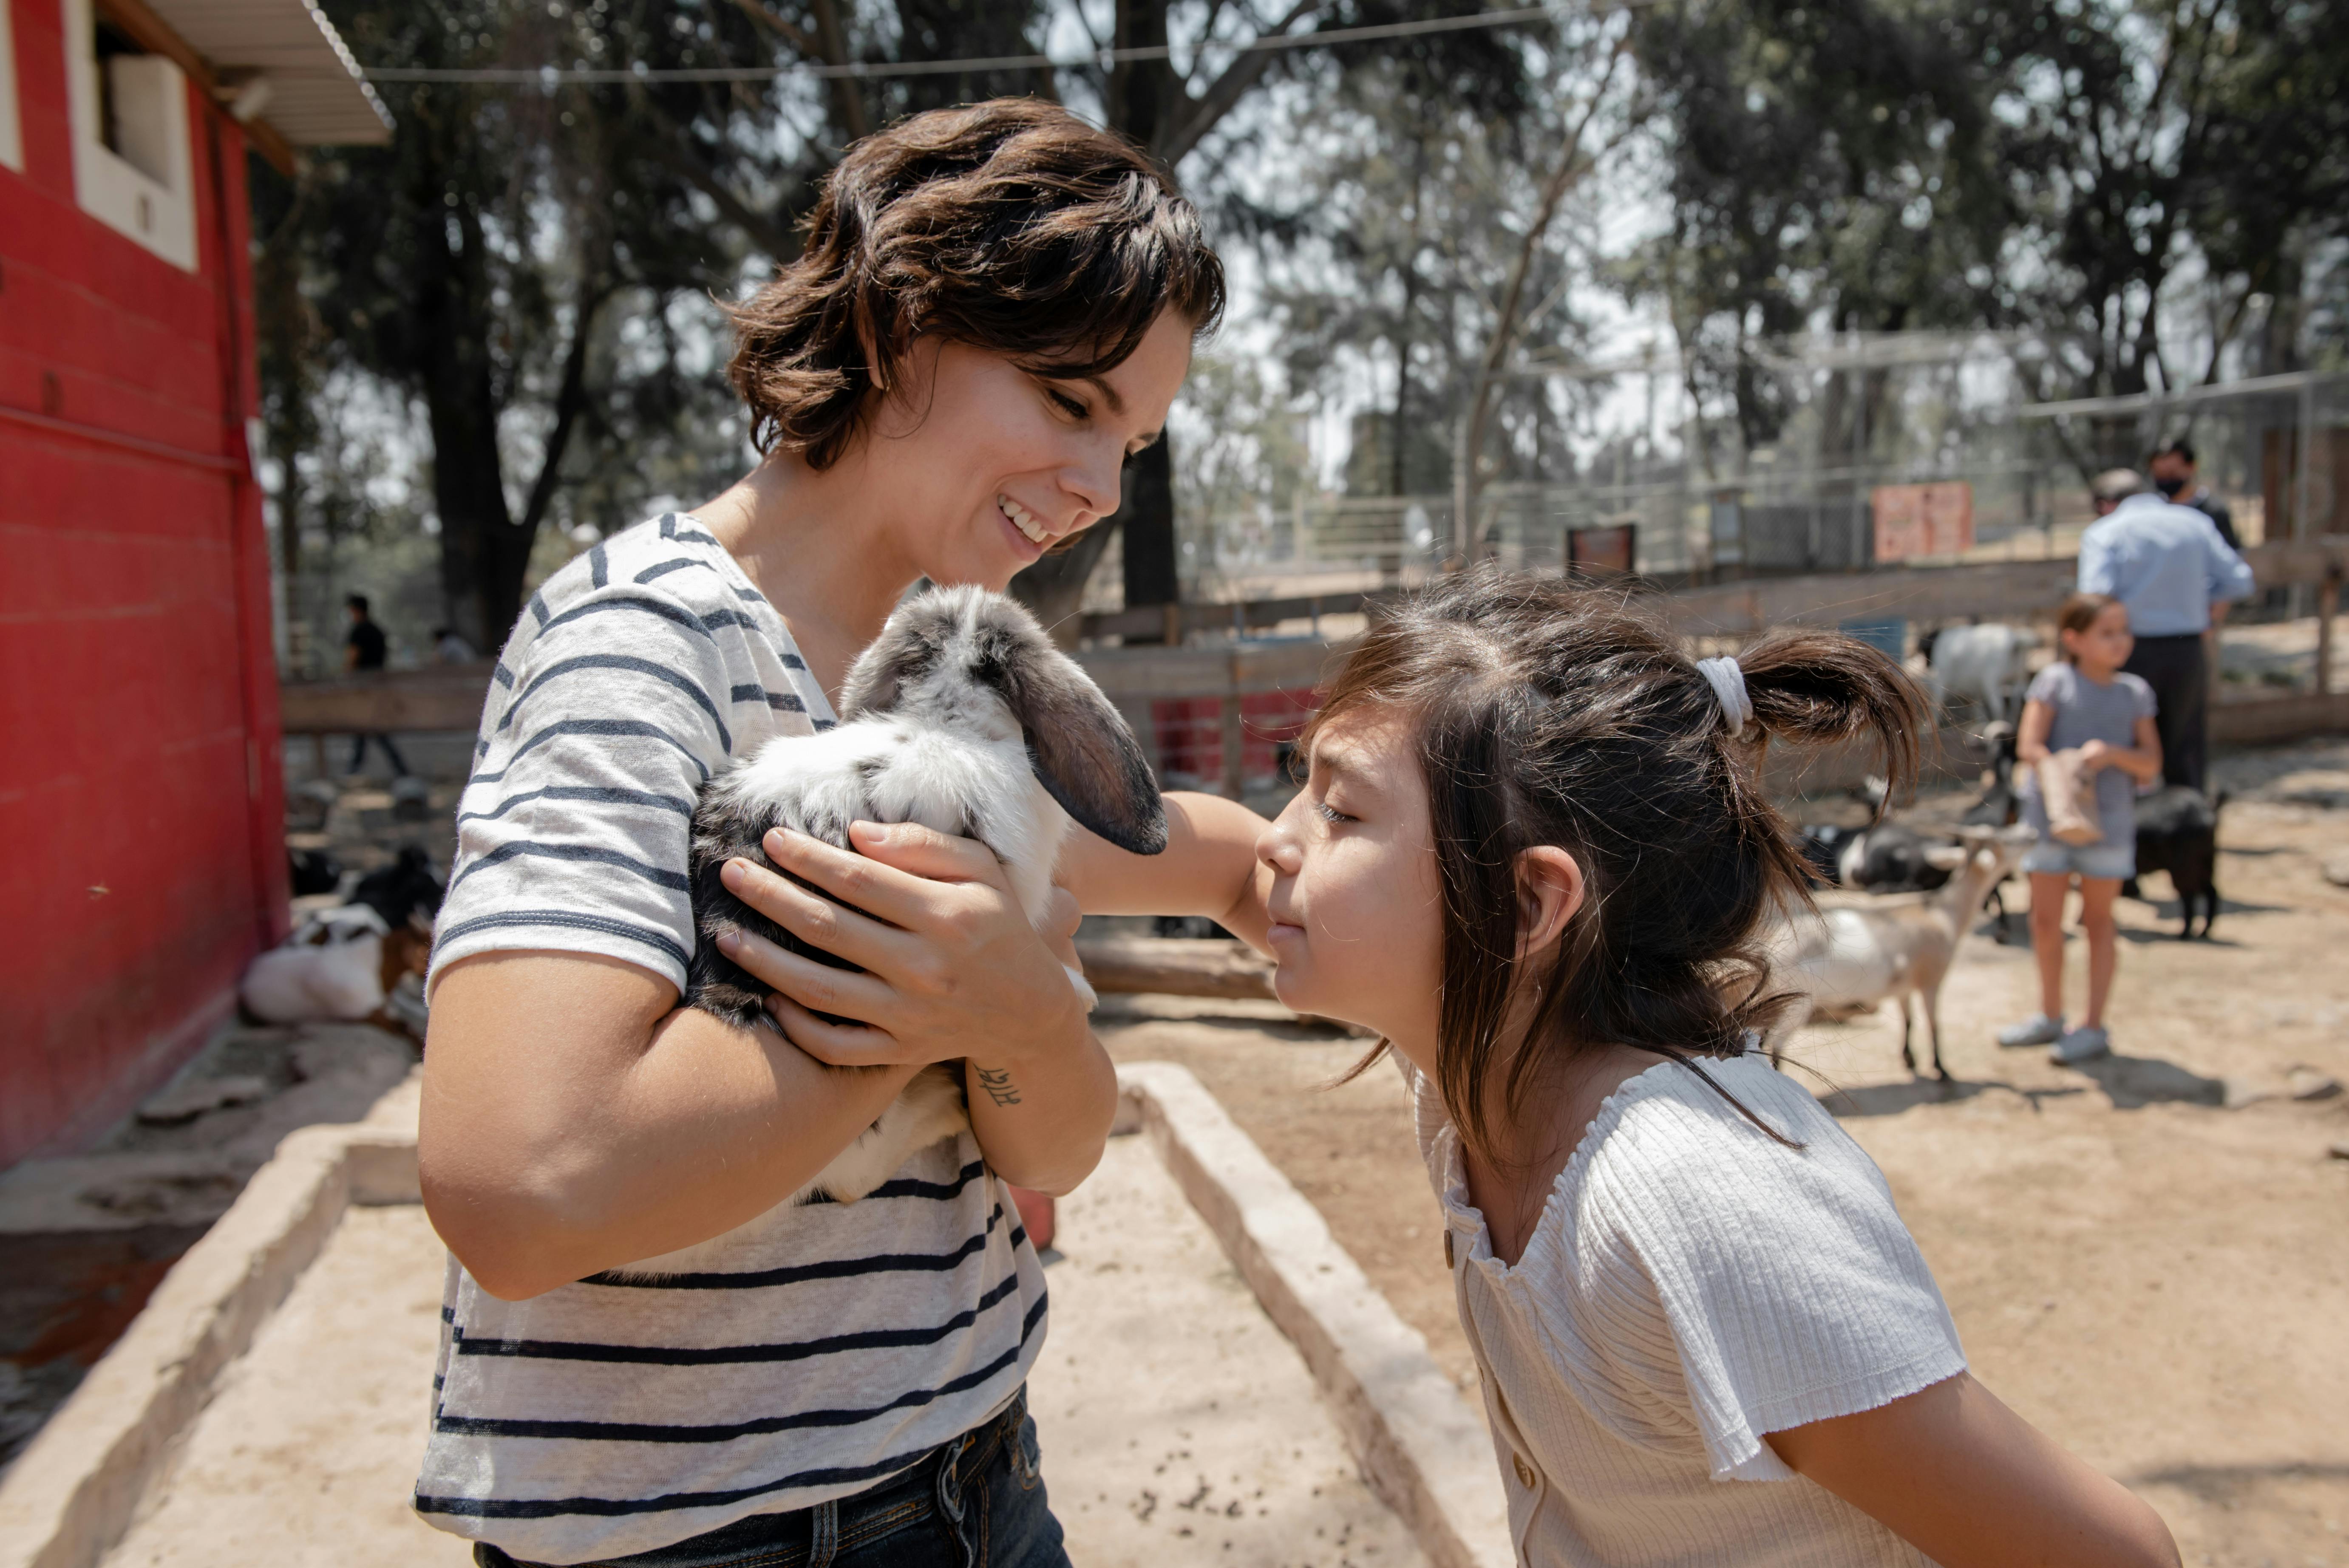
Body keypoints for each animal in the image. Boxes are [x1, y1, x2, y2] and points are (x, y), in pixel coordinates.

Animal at [1766, 826, 2039, 1084]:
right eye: (2004, 839)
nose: (2031, 834)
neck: (1941, 915)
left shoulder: (1903, 987)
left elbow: (1908, 1021)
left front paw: (1910, 1060)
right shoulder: (1932, 979)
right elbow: (1933, 1024)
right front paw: (1942, 1070)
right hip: (1796, 1004)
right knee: (1773, 1045)